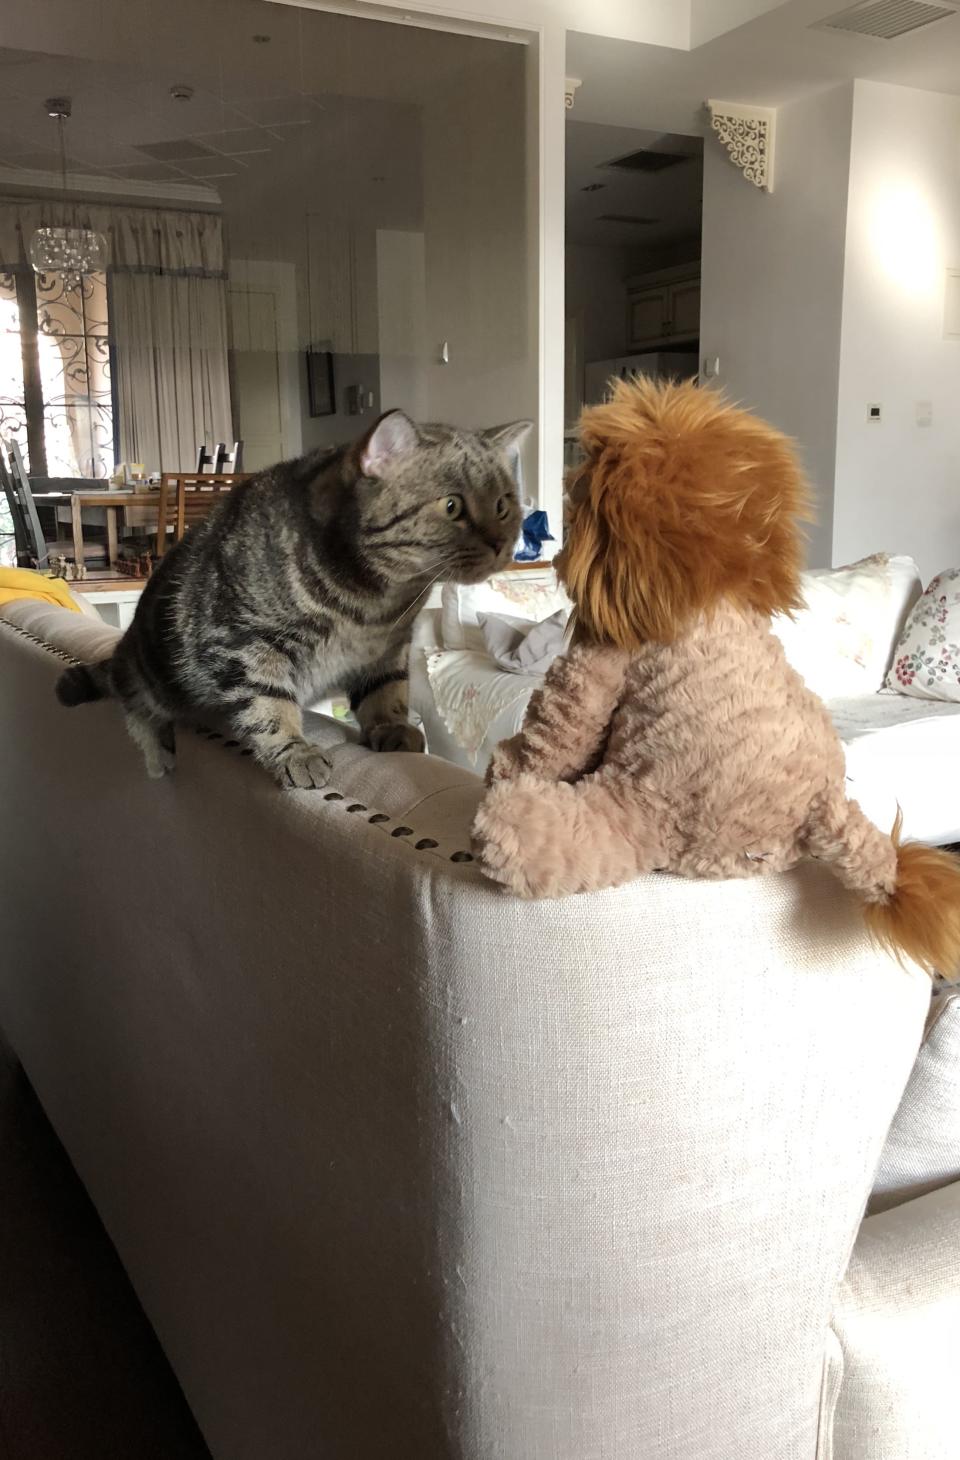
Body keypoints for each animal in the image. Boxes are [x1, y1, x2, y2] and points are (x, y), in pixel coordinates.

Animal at [57, 411, 531, 788]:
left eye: (504, 505)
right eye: (452, 507)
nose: (502, 544)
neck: (378, 603)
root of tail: (126, 645)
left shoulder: (390, 647)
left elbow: (388, 691)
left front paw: (392, 728)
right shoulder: (245, 643)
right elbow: (269, 706)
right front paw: (295, 752)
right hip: (149, 674)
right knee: (136, 705)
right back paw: (158, 751)